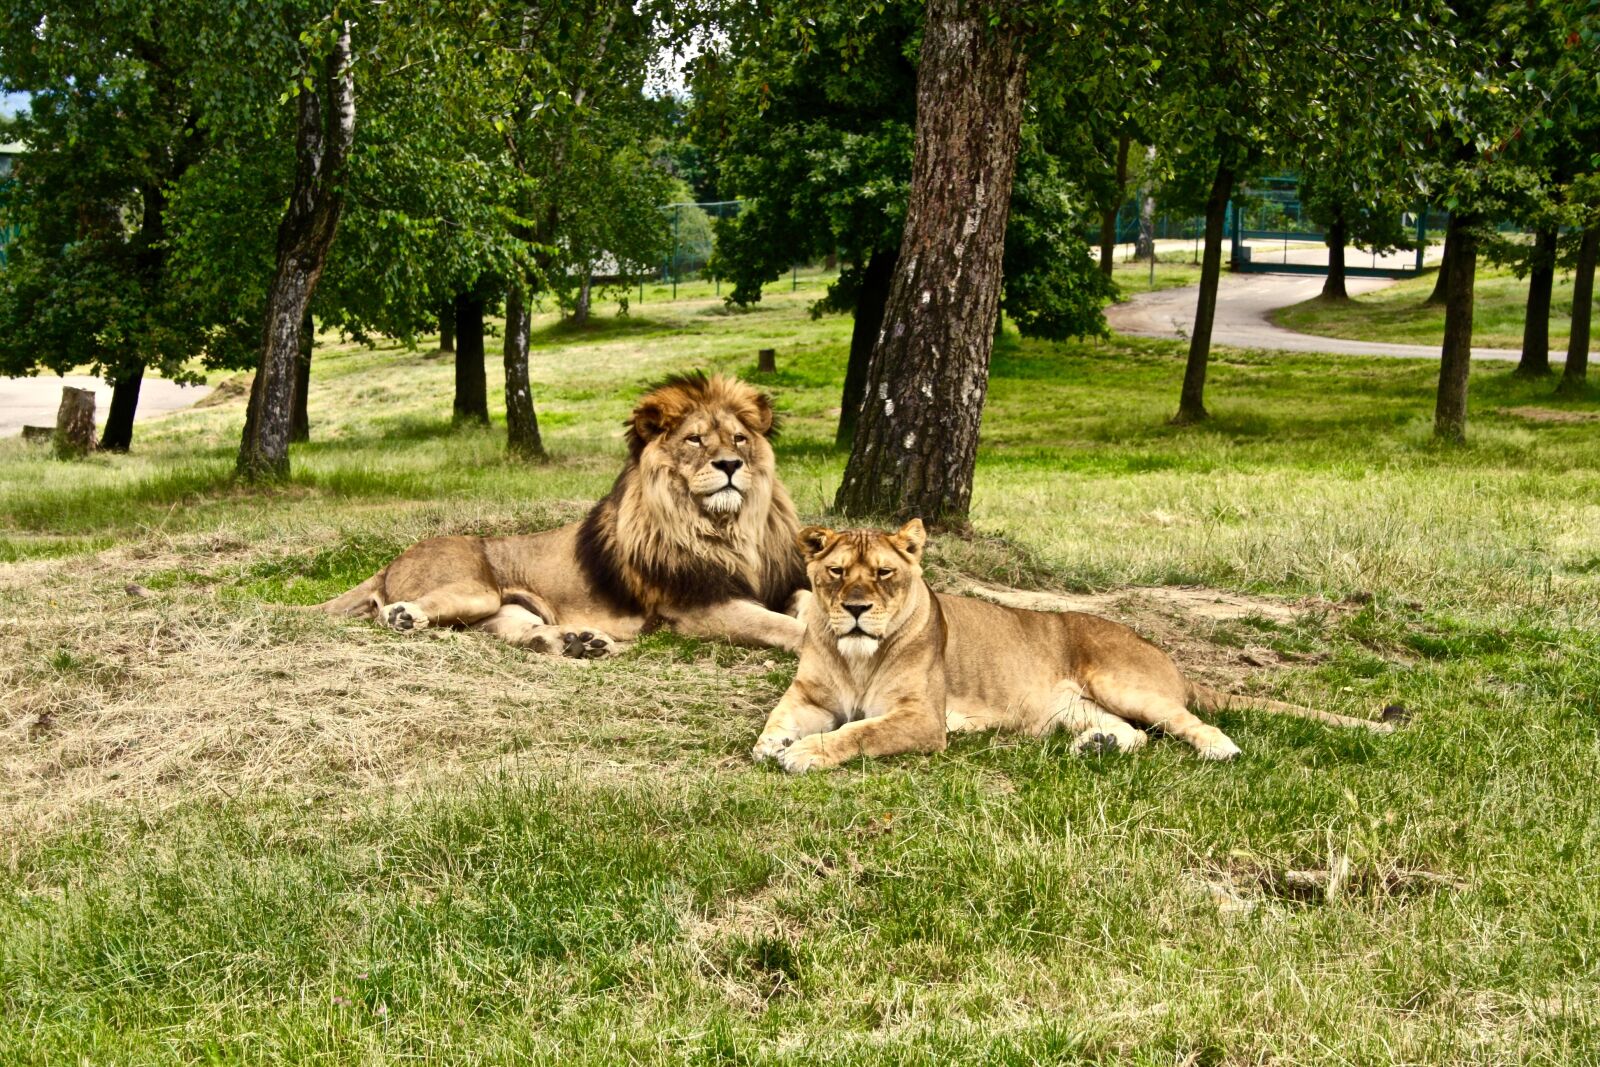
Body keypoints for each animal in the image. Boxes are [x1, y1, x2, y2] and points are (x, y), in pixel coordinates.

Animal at [317, 373, 808, 657]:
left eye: (739, 438)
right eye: (694, 439)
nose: (730, 465)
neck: (726, 527)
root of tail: (391, 561)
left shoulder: (778, 581)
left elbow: (804, 602)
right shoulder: (697, 608)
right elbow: (785, 625)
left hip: (503, 609)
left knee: (511, 633)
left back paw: (578, 641)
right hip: (475, 590)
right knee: (398, 613)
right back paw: (405, 617)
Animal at [753, 520, 1404, 772]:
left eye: (884, 574)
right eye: (837, 573)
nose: (856, 609)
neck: (855, 657)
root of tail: (1160, 651)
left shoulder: (921, 719)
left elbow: (858, 733)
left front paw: (805, 752)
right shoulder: (810, 693)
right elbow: (776, 717)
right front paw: (775, 743)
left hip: (1126, 683)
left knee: (1187, 723)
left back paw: (1219, 749)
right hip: (1071, 708)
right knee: (1134, 735)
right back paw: (1097, 747)